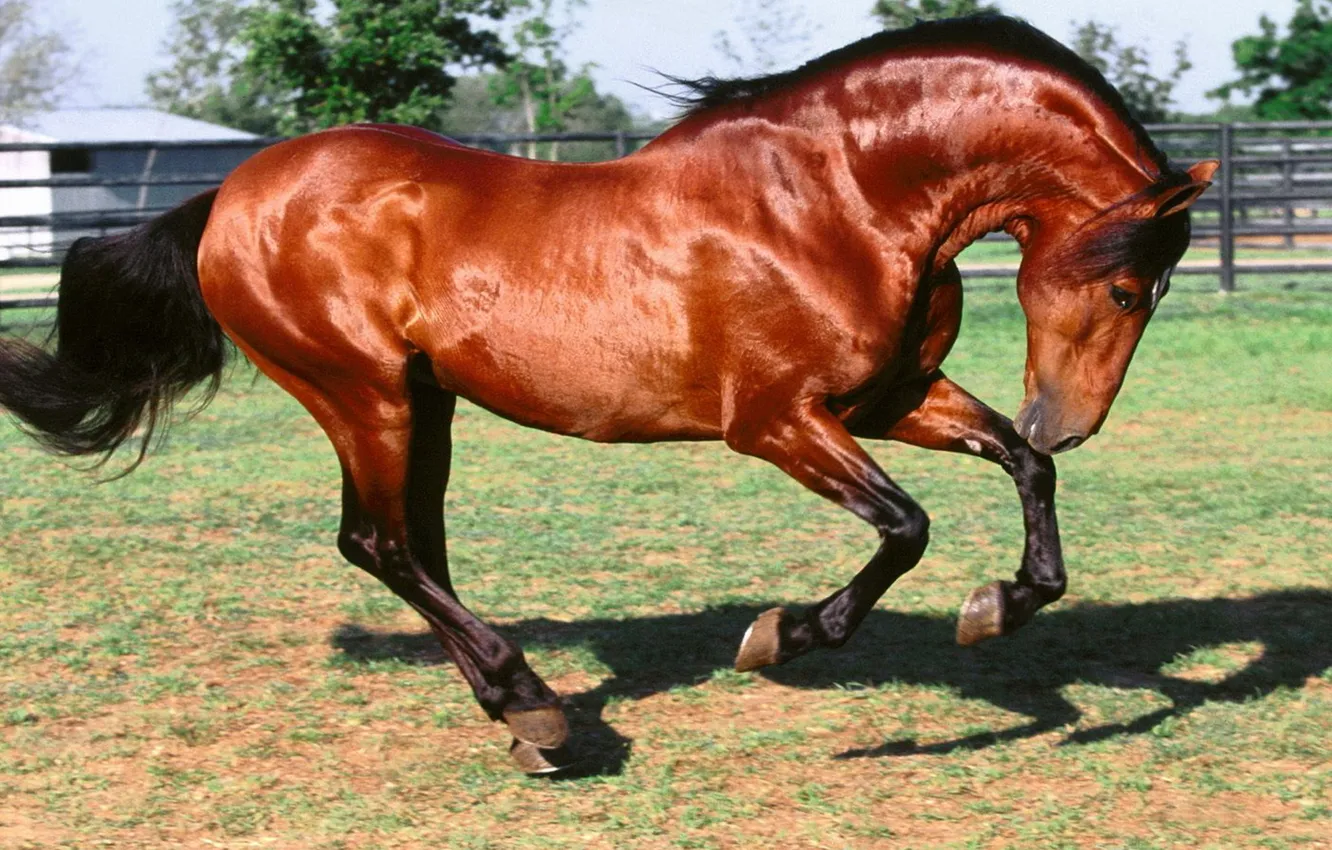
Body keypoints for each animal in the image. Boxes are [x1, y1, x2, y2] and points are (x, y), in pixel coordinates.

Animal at [0, 16, 1216, 773]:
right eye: (1126, 282)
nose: (1077, 417)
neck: (838, 197)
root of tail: (232, 195)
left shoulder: (888, 398)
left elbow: (1020, 465)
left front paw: (999, 605)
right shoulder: (774, 422)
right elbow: (905, 527)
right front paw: (784, 633)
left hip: (425, 403)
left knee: (415, 544)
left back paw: (524, 719)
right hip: (361, 392)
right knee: (377, 544)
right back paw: (531, 700)